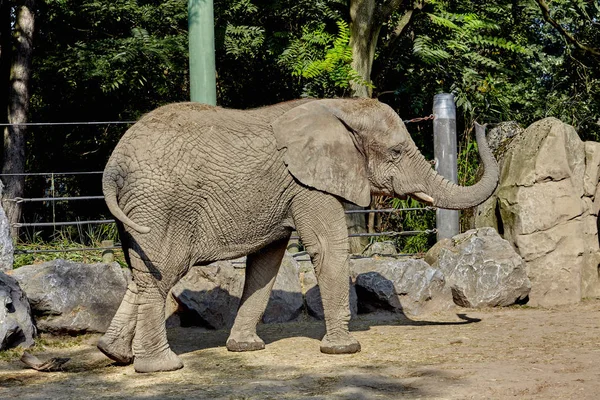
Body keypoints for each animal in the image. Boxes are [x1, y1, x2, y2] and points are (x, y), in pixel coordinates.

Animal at [98, 97, 500, 372]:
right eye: (397, 151)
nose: (481, 122)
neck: (341, 107)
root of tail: (113, 165)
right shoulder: (306, 185)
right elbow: (328, 247)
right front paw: (345, 350)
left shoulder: (287, 191)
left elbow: (267, 261)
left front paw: (245, 348)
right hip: (162, 205)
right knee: (162, 273)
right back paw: (163, 366)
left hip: (140, 210)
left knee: (143, 271)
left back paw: (113, 353)